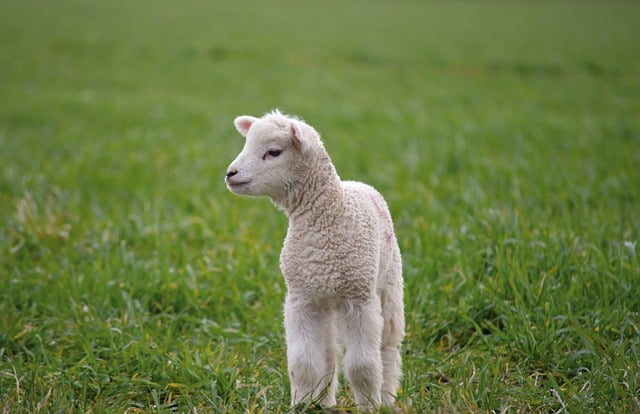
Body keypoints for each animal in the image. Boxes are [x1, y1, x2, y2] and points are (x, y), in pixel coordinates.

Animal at [225, 110, 404, 410]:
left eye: (273, 152)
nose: (230, 174)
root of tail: (357, 183)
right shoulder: (302, 299)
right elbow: (304, 362)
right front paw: (302, 403)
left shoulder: (360, 299)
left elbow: (363, 366)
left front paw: (369, 406)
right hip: (325, 299)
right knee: (329, 352)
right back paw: (325, 401)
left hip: (389, 283)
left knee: (388, 346)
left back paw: (388, 398)